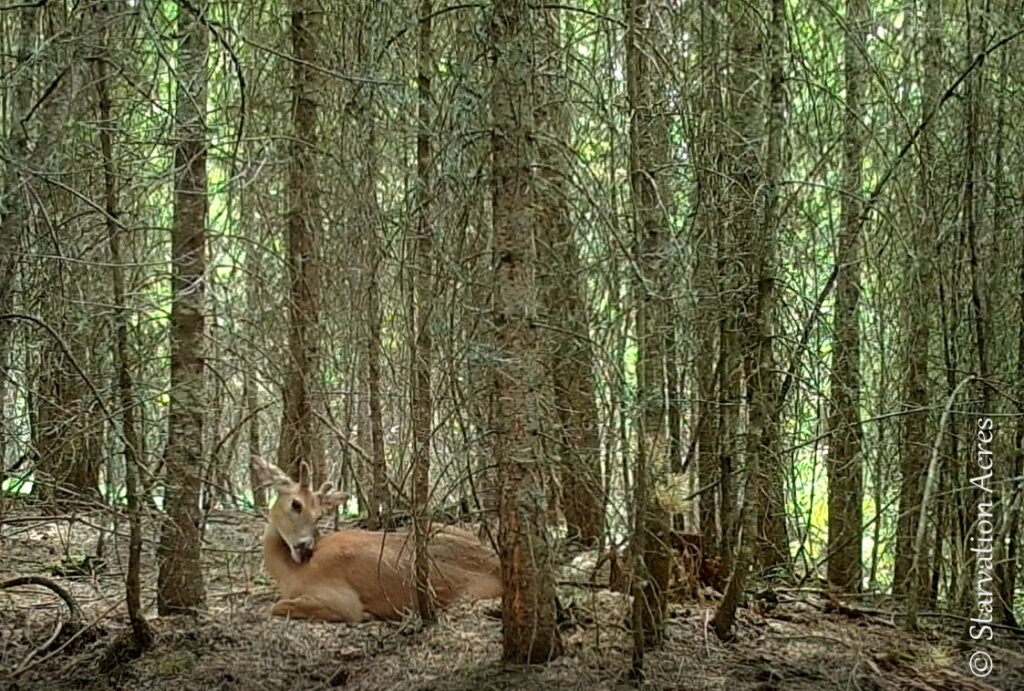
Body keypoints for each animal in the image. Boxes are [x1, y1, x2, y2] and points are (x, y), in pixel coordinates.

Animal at [251, 462, 499, 622]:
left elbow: (278, 606)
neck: (288, 572)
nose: (305, 548)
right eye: (296, 504)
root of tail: (495, 561)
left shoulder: (342, 601)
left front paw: (370, 614)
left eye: (319, 516)